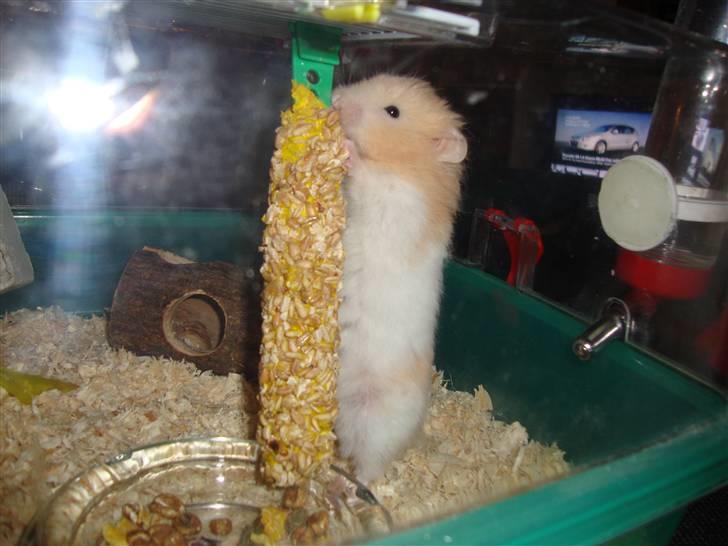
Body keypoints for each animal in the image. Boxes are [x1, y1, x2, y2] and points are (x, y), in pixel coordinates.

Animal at [332, 74, 467, 482]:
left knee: (370, 464)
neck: (403, 165)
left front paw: (348, 148)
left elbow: (366, 179)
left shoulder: (395, 204)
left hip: (378, 420)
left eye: (393, 112)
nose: (336, 98)